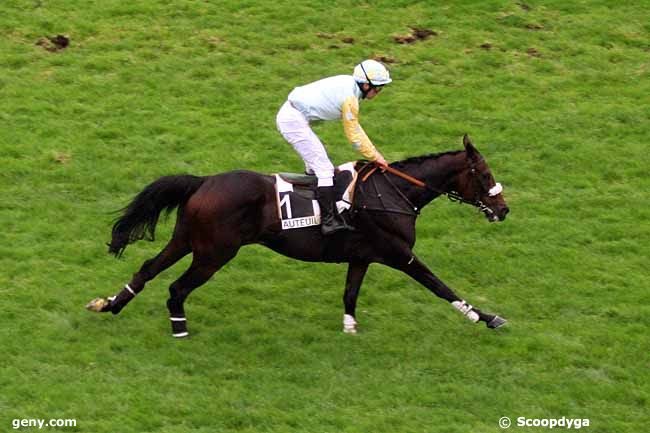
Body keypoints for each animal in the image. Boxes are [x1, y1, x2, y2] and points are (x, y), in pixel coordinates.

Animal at [87, 135, 512, 334]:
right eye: (484, 174)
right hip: (214, 253)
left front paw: (349, 329)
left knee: (147, 267)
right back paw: (179, 327)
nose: (504, 209)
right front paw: (488, 317)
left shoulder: (362, 256)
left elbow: (350, 294)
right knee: (176, 287)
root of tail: (204, 181)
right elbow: (439, 285)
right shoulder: (398, 253)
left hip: (187, 241)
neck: (393, 193)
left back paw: (110, 304)